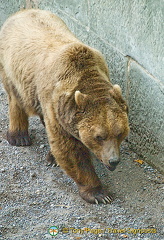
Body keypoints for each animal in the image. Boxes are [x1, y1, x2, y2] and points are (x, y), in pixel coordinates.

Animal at [0, 9, 129, 204]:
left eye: (120, 133)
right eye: (99, 136)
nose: (113, 160)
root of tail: (22, 11)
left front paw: (52, 157)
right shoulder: (56, 104)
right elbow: (69, 149)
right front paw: (99, 194)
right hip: (12, 69)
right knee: (16, 98)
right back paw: (19, 137)